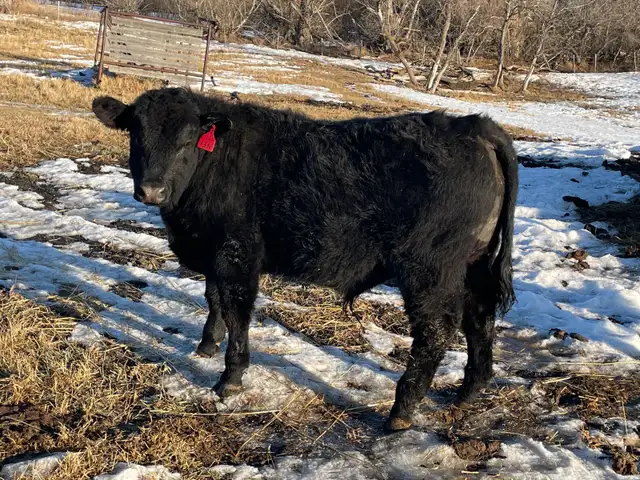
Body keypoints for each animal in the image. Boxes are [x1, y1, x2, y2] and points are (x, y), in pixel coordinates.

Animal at [92, 87, 518, 431]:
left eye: (186, 141)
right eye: (136, 135)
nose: (151, 190)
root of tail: (473, 126)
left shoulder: (237, 254)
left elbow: (236, 310)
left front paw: (230, 379)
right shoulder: (214, 252)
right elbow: (213, 299)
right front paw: (206, 347)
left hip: (429, 270)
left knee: (436, 332)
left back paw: (401, 412)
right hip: (473, 266)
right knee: (479, 319)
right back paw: (468, 392)